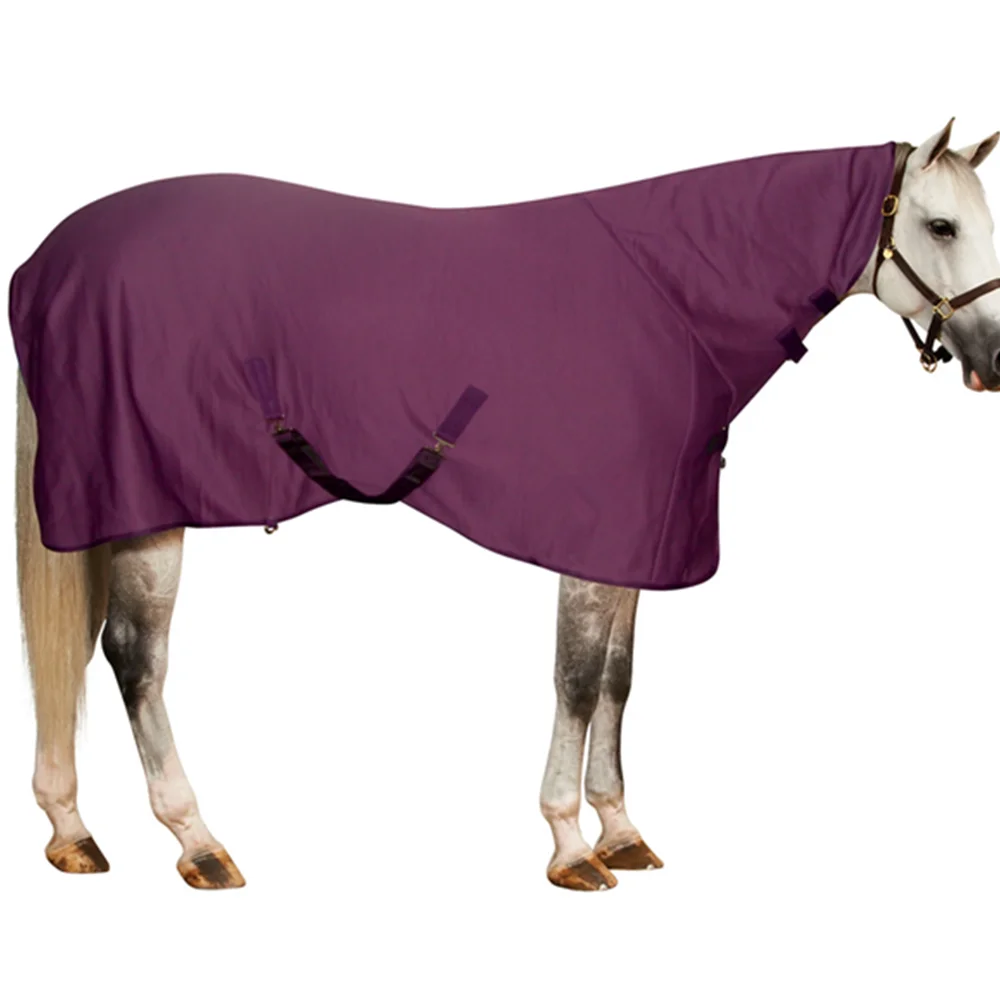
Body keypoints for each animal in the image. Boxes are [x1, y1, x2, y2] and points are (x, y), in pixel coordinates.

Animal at [10, 119, 1000, 891]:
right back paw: (197, 842)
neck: (672, 293)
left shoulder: (632, 543)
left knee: (76, 653)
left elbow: (619, 681)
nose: (993, 361)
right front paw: (569, 845)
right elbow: (575, 680)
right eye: (940, 223)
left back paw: (71, 831)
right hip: (147, 509)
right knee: (135, 658)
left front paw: (621, 830)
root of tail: (51, 259)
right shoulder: (589, 546)